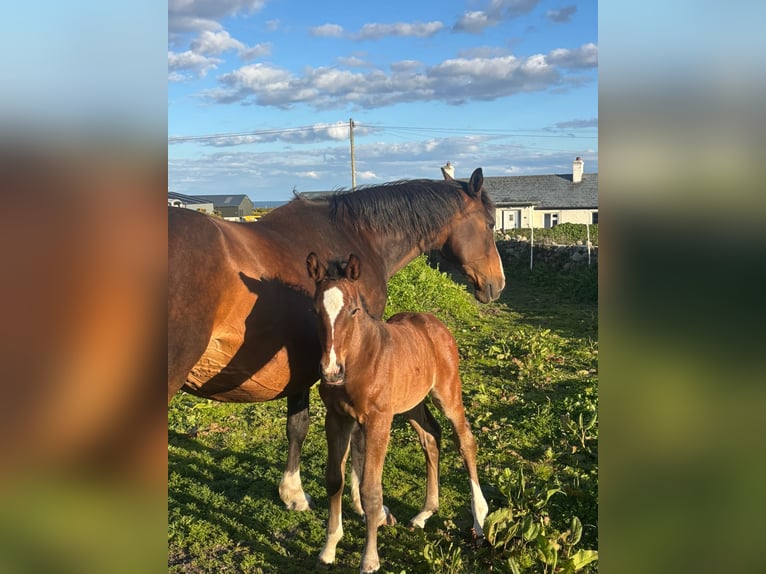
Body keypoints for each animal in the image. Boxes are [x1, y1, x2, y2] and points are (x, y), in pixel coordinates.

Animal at [168, 167, 504, 511]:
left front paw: (293, 493)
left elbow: (297, 426)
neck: (357, 235)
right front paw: (360, 501)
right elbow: (355, 437)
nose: (497, 283)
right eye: (490, 223)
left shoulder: (303, 364)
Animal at [307, 252, 488, 573]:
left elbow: (370, 490)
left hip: (447, 393)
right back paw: (425, 513)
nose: (330, 371)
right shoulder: (336, 418)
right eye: (316, 310)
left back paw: (479, 521)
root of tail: (433, 322)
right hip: (411, 404)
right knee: (431, 437)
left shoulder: (379, 421)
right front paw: (328, 549)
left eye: (354, 310)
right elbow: (333, 479)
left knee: (465, 440)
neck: (359, 361)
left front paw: (370, 559)